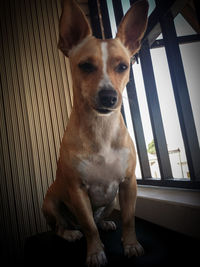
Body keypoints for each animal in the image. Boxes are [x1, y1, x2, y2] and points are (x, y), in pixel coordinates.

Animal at [42, 1, 148, 266]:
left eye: (123, 66)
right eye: (86, 66)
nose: (109, 96)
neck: (101, 129)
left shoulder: (128, 185)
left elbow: (128, 219)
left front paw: (131, 245)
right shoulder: (78, 191)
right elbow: (89, 227)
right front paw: (95, 252)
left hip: (111, 201)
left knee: (98, 219)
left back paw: (106, 223)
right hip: (50, 202)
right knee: (62, 226)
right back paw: (70, 233)